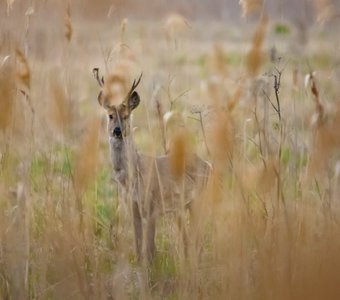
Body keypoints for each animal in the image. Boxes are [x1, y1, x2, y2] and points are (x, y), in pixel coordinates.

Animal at [93, 68, 210, 262]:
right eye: (110, 116)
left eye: (126, 116)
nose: (117, 131)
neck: (131, 176)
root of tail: (208, 164)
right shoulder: (133, 208)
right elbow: (138, 247)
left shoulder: (152, 205)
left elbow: (150, 249)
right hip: (182, 207)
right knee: (190, 239)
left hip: (198, 199)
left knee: (199, 236)